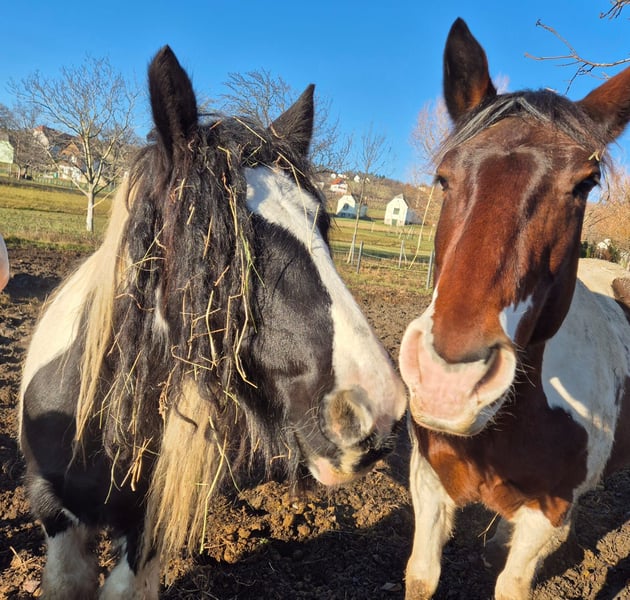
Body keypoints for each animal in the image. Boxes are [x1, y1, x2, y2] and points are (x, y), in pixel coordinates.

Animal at [399, 18, 630, 600]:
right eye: (443, 176)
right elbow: (422, 575)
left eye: (585, 185)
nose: (449, 383)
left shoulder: (547, 514)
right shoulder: (427, 484)